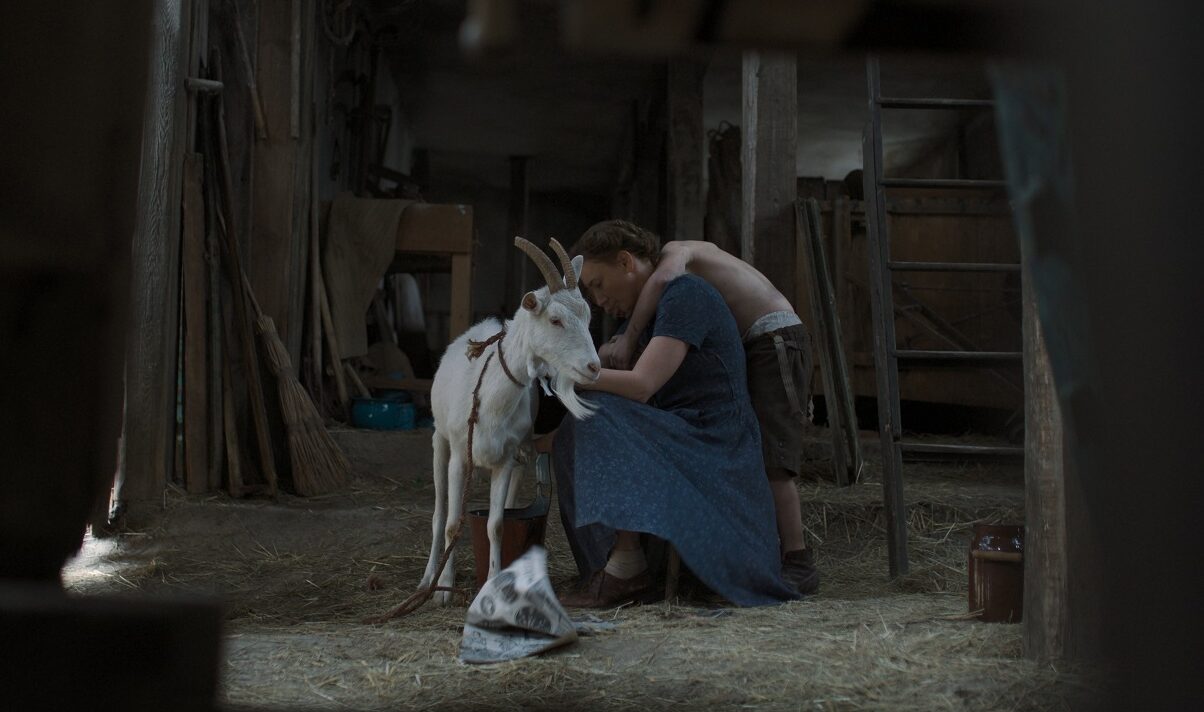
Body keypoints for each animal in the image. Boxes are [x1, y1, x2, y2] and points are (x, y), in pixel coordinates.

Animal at [421, 237, 599, 604]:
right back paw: (428, 577)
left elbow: (497, 524)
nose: (594, 367)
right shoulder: (460, 455)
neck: (489, 400)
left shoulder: (504, 459)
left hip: (520, 454)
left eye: (588, 315)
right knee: (438, 512)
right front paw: (443, 587)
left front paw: (492, 582)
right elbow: (451, 523)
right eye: (555, 320)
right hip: (439, 440)